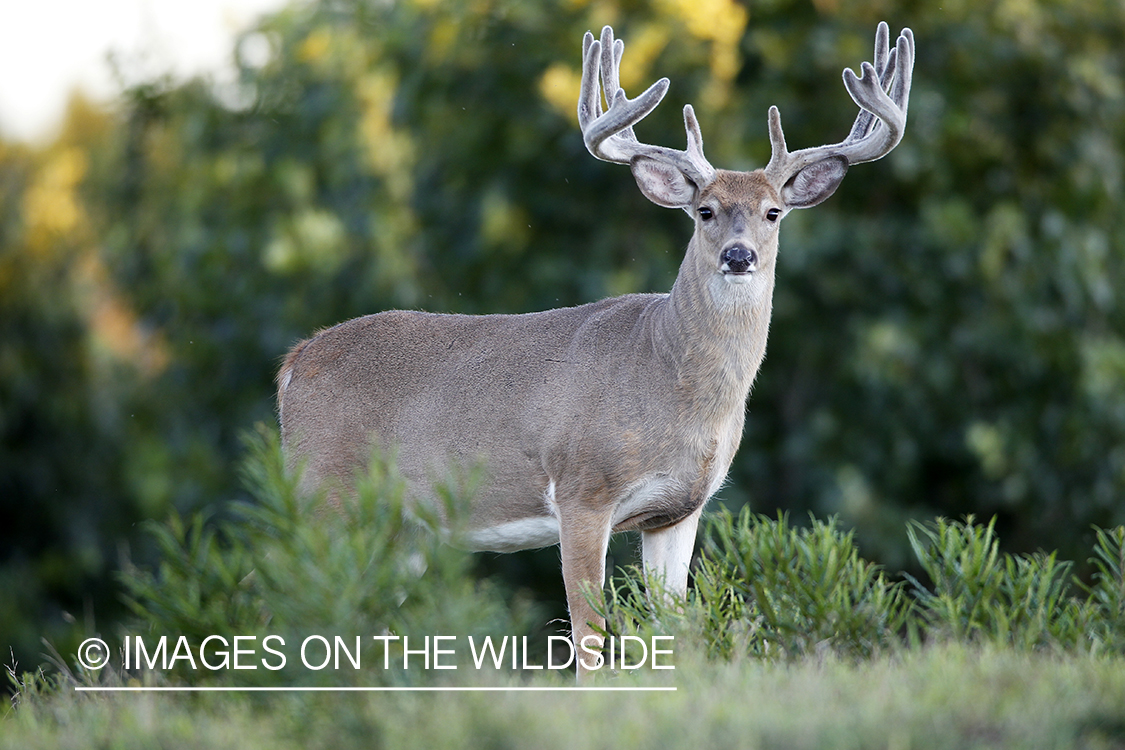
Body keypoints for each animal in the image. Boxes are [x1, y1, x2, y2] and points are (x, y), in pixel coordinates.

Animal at [279, 22, 913, 679]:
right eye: (705, 211)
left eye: (773, 212)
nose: (739, 256)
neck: (670, 381)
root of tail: (295, 361)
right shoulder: (582, 488)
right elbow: (588, 635)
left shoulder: (678, 511)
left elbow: (676, 626)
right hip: (323, 490)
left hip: (404, 528)